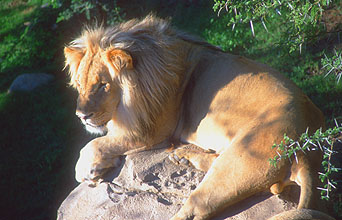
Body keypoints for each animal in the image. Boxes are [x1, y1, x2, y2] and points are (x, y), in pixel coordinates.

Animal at [65, 14, 334, 219]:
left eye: (103, 85)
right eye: (79, 83)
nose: (81, 116)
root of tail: (306, 149)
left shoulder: (151, 130)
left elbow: (96, 143)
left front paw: (84, 169)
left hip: (240, 162)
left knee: (195, 209)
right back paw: (183, 157)